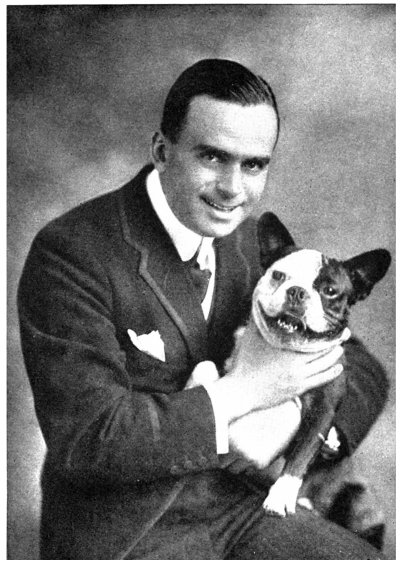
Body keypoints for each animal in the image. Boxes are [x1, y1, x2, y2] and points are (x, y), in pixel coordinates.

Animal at [188, 212, 391, 518]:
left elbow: (302, 454)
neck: (280, 349)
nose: (297, 292)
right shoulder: (225, 364)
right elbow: (206, 368)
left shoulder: (322, 409)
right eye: (278, 275)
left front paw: (282, 495)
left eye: (330, 291)